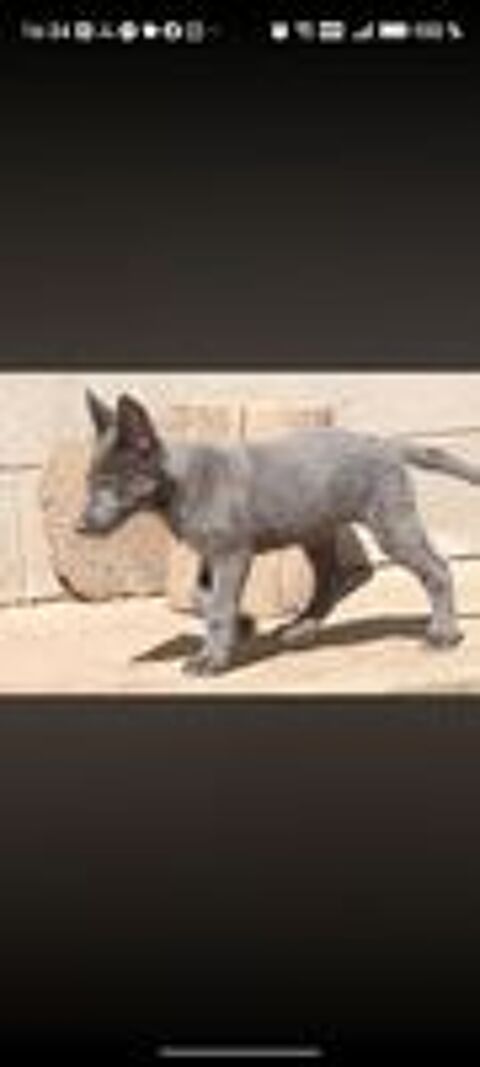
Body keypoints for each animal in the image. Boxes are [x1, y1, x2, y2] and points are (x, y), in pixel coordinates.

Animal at [77, 390, 480, 674]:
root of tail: (385, 443)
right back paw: (302, 628)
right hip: (314, 531)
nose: (79, 527)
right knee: (330, 581)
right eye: (89, 482)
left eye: (108, 483)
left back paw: (444, 635)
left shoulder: (232, 554)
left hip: (390, 526)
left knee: (437, 570)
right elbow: (200, 597)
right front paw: (243, 625)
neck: (181, 484)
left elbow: (219, 606)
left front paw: (212, 659)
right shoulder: (211, 556)